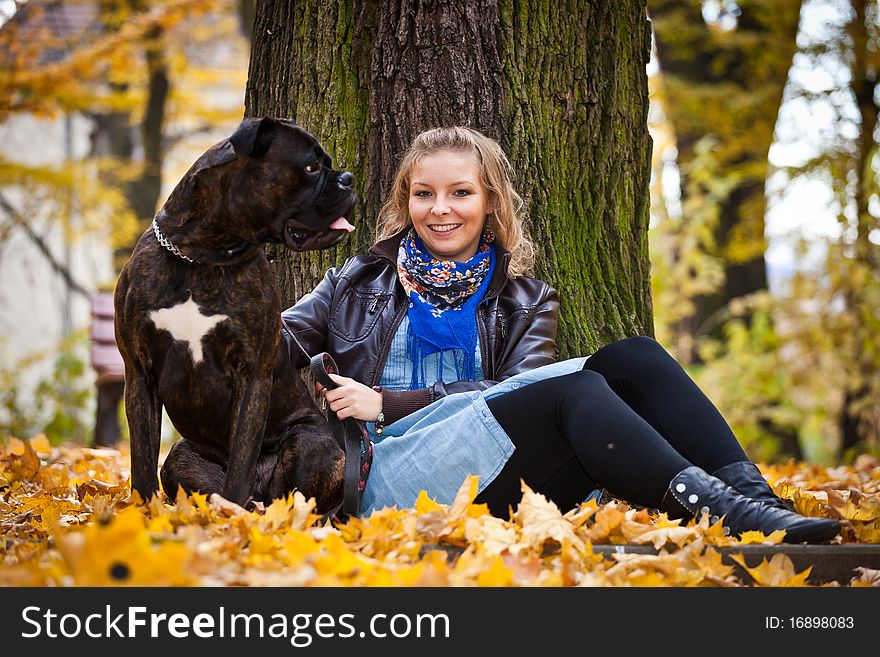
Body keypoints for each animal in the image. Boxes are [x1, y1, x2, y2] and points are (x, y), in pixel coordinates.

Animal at [115, 118, 356, 512]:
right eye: (310, 167)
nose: (348, 179)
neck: (202, 258)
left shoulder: (252, 374)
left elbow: (241, 463)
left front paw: (233, 516)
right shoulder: (138, 372)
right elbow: (142, 460)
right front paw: (143, 513)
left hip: (311, 442)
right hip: (181, 456)